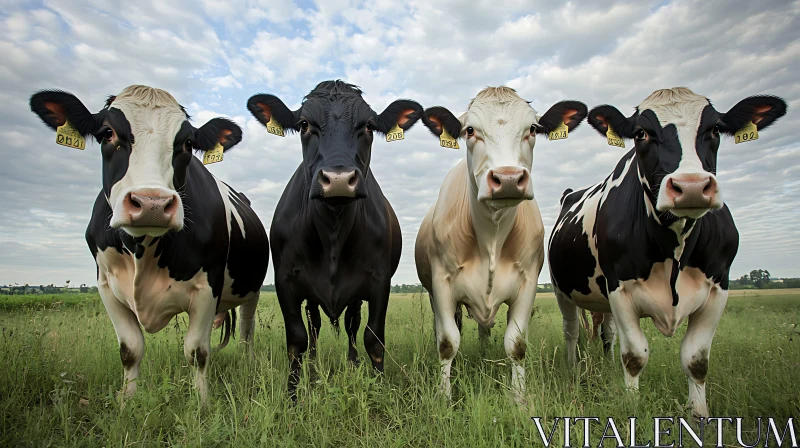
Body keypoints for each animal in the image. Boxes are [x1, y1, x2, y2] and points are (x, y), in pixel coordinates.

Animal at [29, 86, 270, 400]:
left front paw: (202, 402)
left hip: (251, 291)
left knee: (246, 331)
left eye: (188, 143)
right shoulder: (106, 287)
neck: (144, 248)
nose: (151, 203)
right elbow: (130, 350)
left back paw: (249, 363)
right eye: (107, 133)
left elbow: (197, 351)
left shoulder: (208, 287)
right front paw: (127, 402)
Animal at [247, 80, 424, 400]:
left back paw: (352, 365)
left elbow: (373, 338)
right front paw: (293, 396)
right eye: (304, 124)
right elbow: (297, 339)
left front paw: (378, 390)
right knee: (315, 327)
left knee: (352, 326)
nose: (338, 179)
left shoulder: (379, 282)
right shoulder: (285, 281)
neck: (333, 230)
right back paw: (314, 369)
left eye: (368, 126)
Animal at [416, 86, 592, 404]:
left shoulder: (528, 284)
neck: (492, 238)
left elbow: (517, 344)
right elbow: (447, 342)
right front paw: (445, 397)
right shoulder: (441, 284)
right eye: (470, 130)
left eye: (532, 128)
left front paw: (519, 399)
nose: (508, 178)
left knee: (485, 331)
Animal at [552, 86, 788, 416]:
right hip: (563, 292)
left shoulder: (718, 289)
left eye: (715, 129)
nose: (691, 187)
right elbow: (635, 355)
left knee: (608, 333)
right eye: (641, 133)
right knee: (572, 331)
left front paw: (699, 414)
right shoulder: (620, 289)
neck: (674, 244)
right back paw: (573, 366)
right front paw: (632, 405)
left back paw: (608, 365)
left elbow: (696, 360)